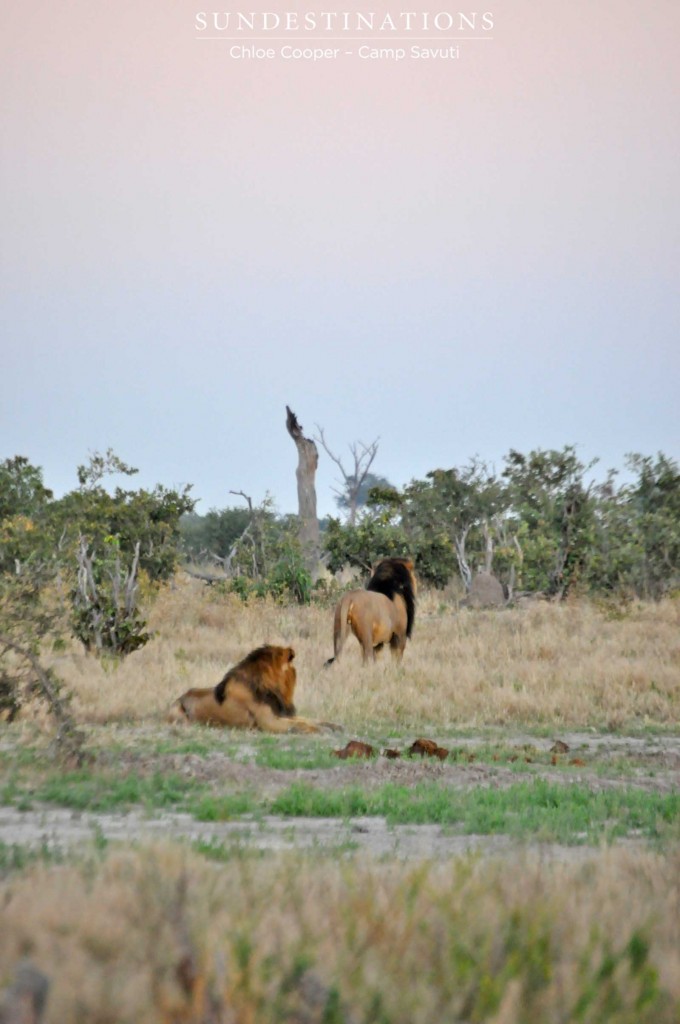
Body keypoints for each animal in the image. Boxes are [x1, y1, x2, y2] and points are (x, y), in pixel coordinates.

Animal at [164, 643, 333, 733]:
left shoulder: (280, 714)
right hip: (179, 715)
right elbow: (299, 724)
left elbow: (310, 719)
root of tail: (179, 697)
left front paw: (332, 726)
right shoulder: (268, 722)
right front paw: (318, 730)